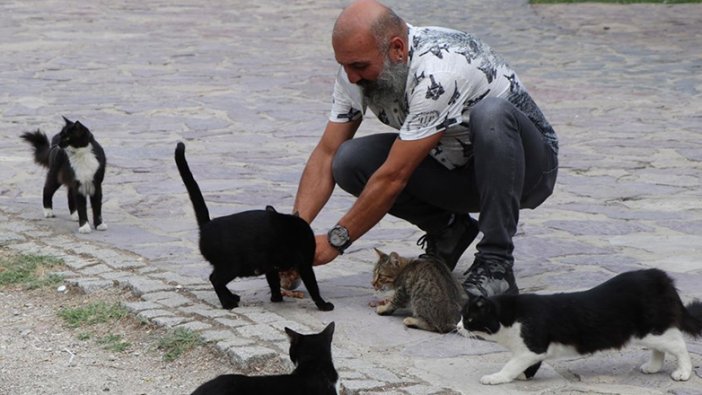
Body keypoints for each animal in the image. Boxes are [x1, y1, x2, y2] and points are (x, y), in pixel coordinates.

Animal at [173, 142, 332, 312]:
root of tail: (206, 225)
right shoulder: (305, 263)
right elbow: (313, 286)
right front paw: (323, 305)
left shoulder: (271, 265)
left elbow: (273, 282)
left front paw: (276, 298)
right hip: (232, 265)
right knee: (215, 279)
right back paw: (228, 303)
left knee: (214, 278)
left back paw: (233, 297)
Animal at [456, 268, 702, 386]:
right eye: (461, 316)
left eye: (468, 319)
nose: (457, 327)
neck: (511, 316)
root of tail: (659, 276)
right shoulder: (533, 350)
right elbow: (526, 364)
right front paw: (523, 376)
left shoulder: (532, 345)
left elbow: (511, 365)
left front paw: (496, 377)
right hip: (649, 331)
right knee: (662, 347)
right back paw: (652, 367)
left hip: (651, 329)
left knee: (678, 344)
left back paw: (683, 372)